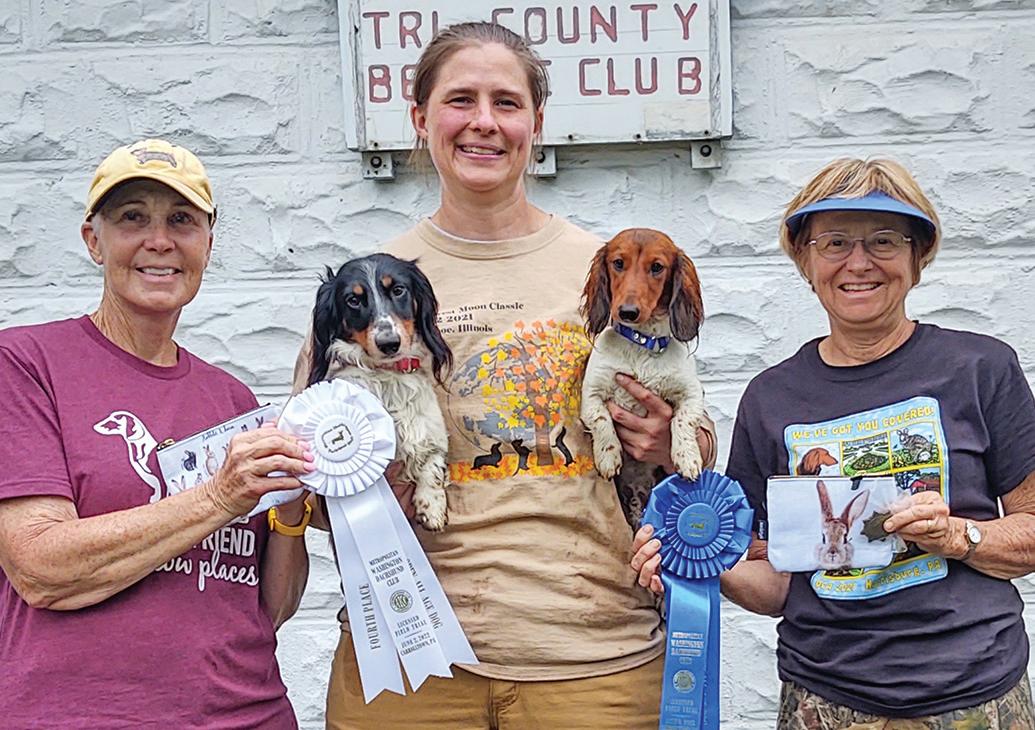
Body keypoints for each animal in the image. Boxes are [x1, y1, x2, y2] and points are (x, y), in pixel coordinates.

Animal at [308, 253, 453, 531]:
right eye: (353, 300)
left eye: (398, 290)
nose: (389, 343)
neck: (388, 377)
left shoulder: (431, 433)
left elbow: (433, 465)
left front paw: (431, 506)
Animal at [579, 228, 706, 529]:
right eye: (618, 263)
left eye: (657, 267)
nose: (627, 311)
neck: (641, 343)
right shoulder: (591, 394)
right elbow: (600, 420)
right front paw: (608, 455)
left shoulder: (692, 394)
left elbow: (683, 421)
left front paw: (687, 457)